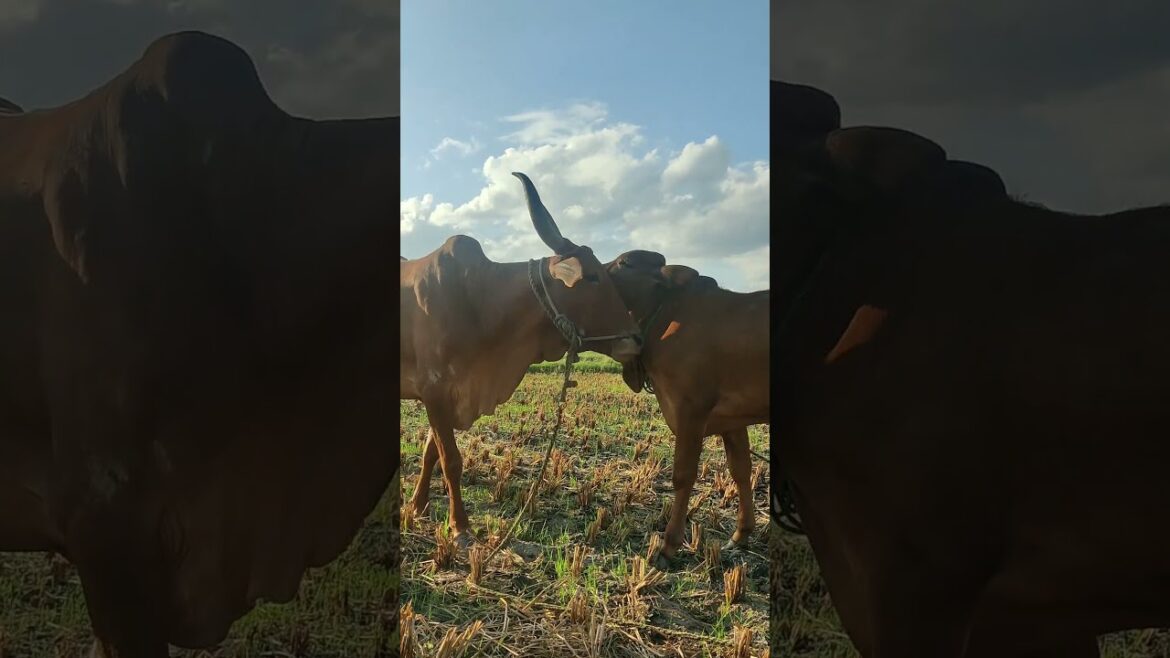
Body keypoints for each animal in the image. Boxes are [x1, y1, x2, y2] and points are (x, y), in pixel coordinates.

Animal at [401, 174, 642, 547]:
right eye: (593, 277)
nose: (635, 340)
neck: (480, 299)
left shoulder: (444, 397)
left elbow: (431, 453)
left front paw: (418, 507)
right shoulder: (435, 389)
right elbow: (451, 459)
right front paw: (460, 528)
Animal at [605, 251, 768, 567]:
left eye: (624, 262)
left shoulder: (690, 409)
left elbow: (683, 475)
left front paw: (668, 545)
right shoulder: (732, 419)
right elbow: (741, 469)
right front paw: (741, 534)